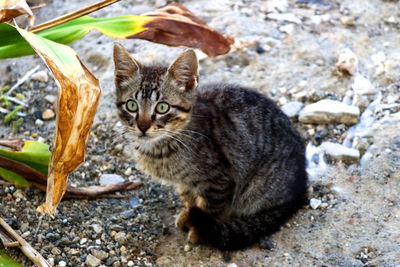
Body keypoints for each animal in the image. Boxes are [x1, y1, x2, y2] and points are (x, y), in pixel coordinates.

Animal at [114, 43, 308, 251]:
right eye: (132, 105)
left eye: (162, 108)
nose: (142, 127)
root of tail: (301, 185)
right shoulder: (185, 182)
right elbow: (189, 198)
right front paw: (188, 214)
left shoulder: (219, 181)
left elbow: (209, 208)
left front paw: (198, 230)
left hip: (257, 188)